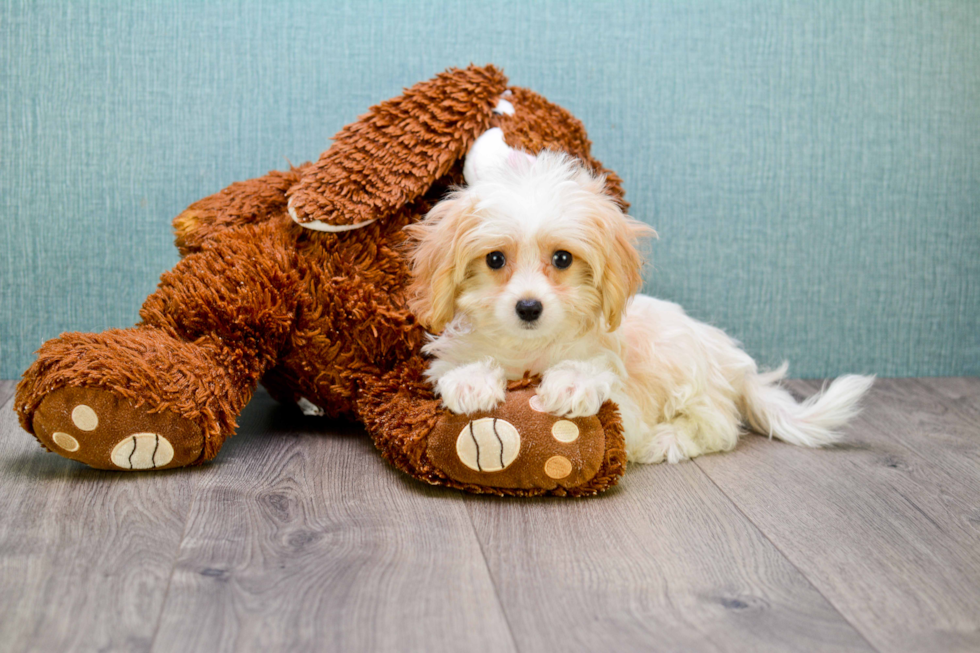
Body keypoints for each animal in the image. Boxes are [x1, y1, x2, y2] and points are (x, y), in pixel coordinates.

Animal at [406, 130, 872, 460]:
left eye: (562, 259)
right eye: (495, 260)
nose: (528, 307)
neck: (530, 351)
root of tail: (737, 367)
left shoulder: (622, 395)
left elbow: (593, 375)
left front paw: (572, 384)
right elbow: (461, 364)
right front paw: (471, 380)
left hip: (685, 366)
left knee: (717, 425)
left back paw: (667, 441)